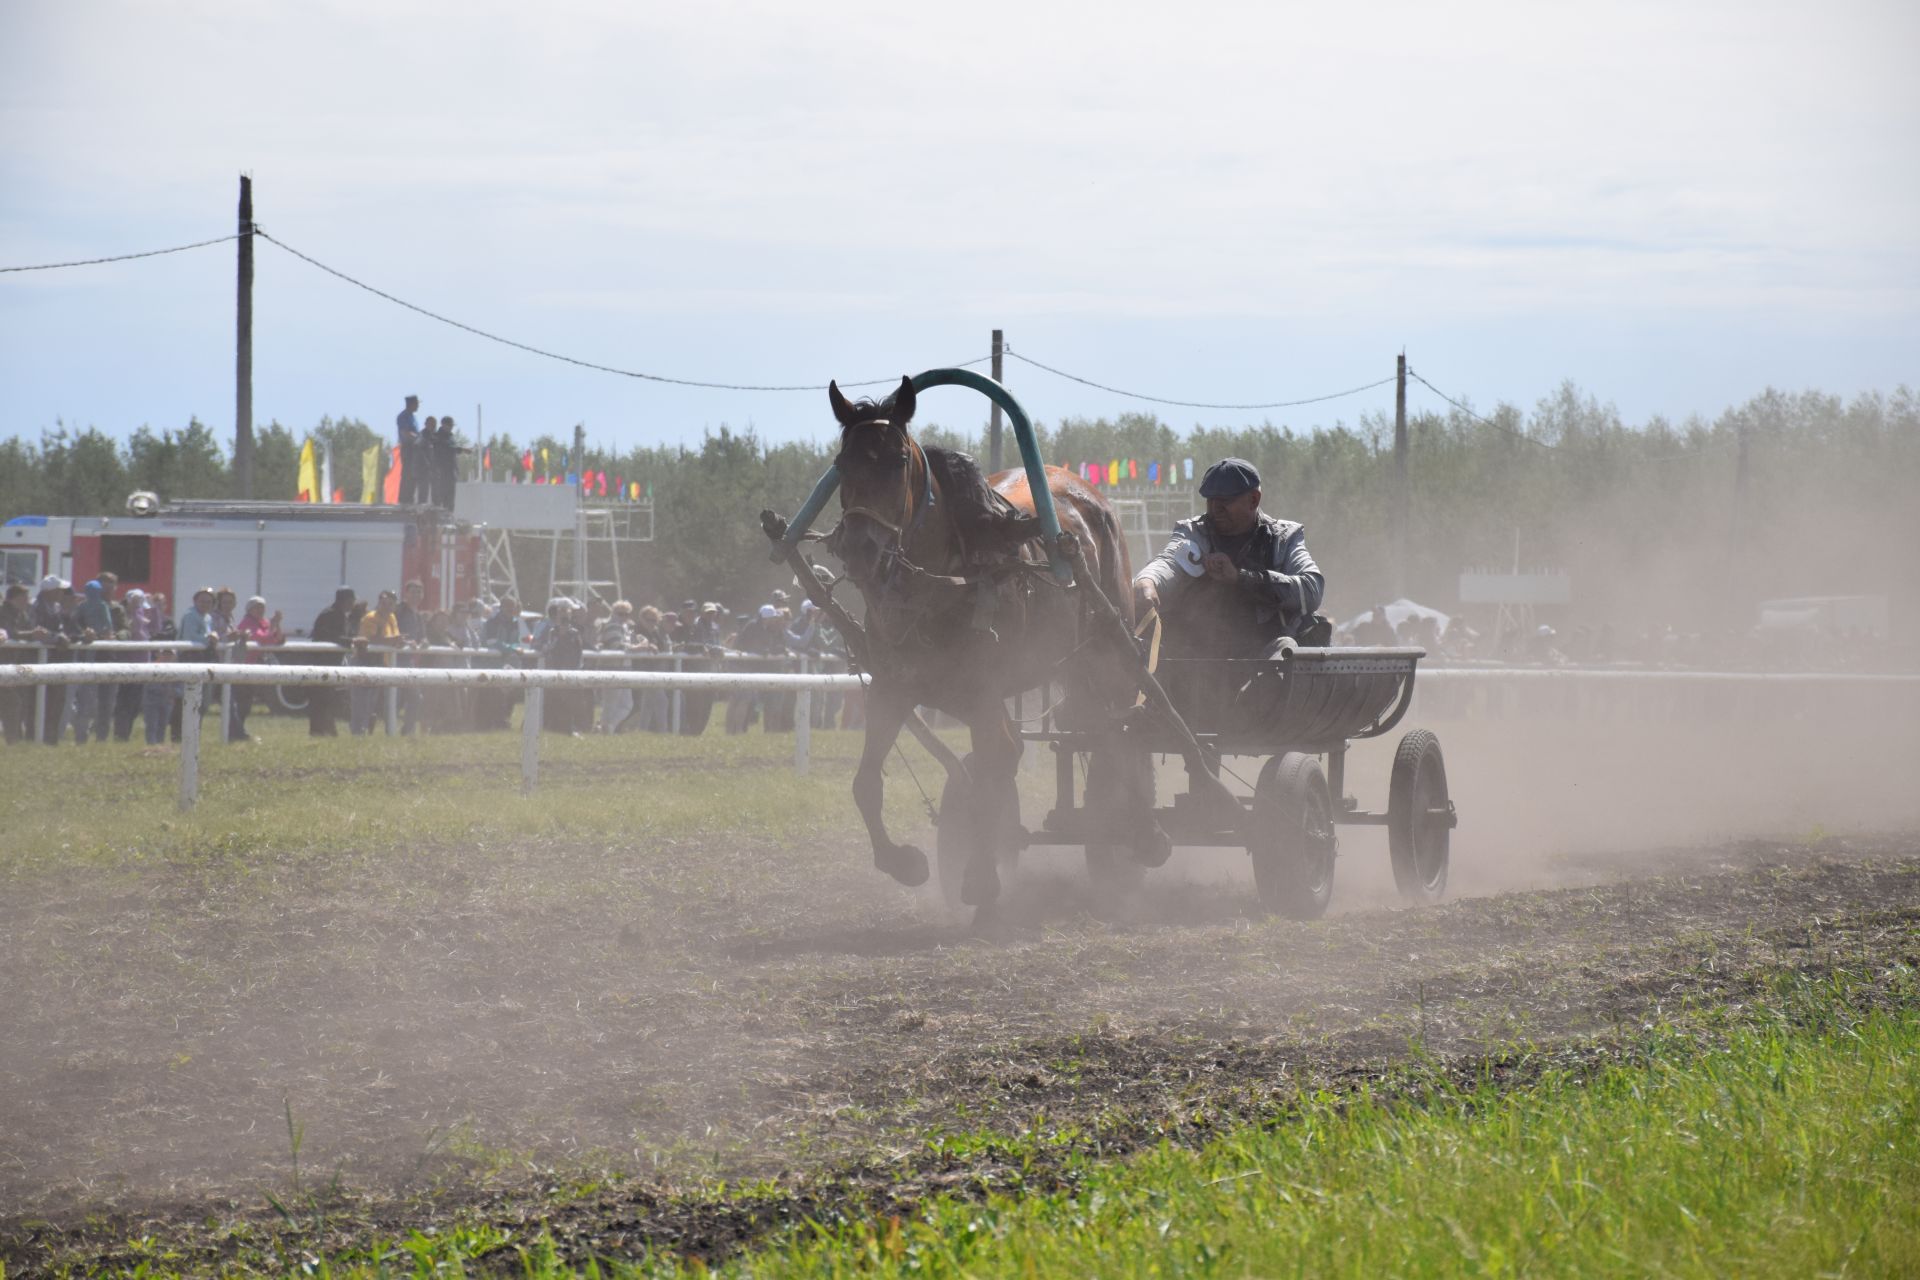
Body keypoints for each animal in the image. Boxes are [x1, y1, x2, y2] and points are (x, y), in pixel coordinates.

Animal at [817, 376, 1144, 917]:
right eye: (843, 464)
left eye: (898, 461)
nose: (861, 550)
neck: (942, 583)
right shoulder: (892, 688)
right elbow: (866, 784)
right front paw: (905, 862)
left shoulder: (983, 688)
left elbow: (998, 764)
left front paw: (980, 876)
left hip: (1104, 655)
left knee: (1114, 743)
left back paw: (1136, 831)